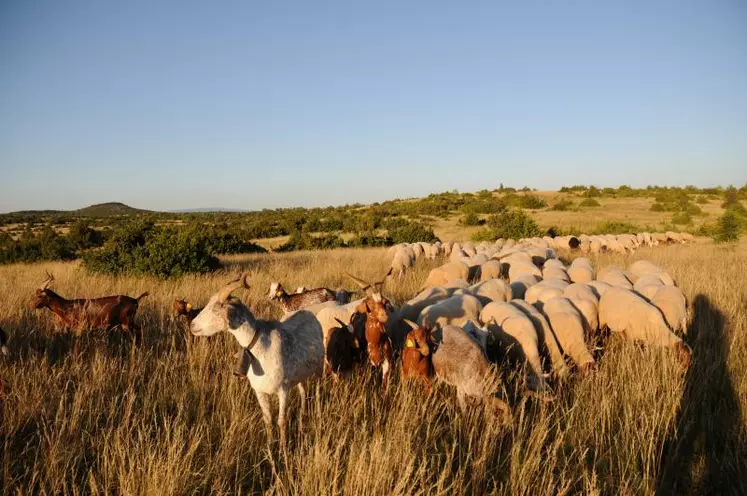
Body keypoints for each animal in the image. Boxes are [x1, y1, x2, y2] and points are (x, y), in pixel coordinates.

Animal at [191, 274, 322, 444]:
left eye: (215, 308)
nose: (192, 325)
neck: (261, 347)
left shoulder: (283, 389)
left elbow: (281, 421)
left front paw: (283, 447)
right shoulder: (260, 391)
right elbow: (267, 420)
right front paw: (270, 445)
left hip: (319, 367)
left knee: (317, 392)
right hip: (300, 374)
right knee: (303, 391)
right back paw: (303, 414)